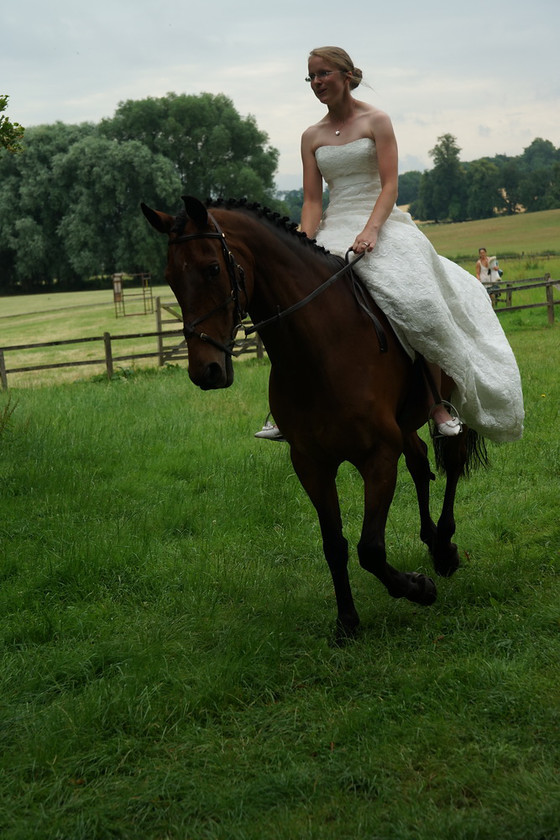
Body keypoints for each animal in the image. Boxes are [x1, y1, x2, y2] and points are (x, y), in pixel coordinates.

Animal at [140, 197, 482, 640]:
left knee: (451, 464)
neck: (321, 349)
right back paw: (432, 540)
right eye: (169, 278)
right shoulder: (311, 463)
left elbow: (370, 549)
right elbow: (334, 545)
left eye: (212, 268)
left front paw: (419, 589)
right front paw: (347, 622)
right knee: (421, 463)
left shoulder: (378, 456)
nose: (205, 371)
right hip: (403, 425)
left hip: (451, 402)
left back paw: (444, 551)